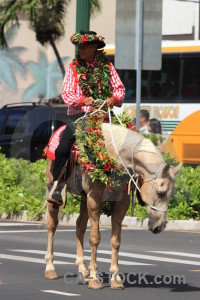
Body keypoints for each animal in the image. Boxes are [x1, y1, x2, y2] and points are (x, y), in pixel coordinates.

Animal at [44, 123, 182, 290]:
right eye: (161, 193)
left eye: (172, 194)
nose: (159, 227)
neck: (114, 157)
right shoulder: (94, 200)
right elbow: (95, 238)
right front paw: (94, 278)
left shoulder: (120, 204)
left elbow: (115, 241)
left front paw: (115, 278)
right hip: (54, 190)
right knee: (52, 226)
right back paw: (50, 268)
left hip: (84, 198)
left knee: (79, 227)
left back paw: (82, 270)